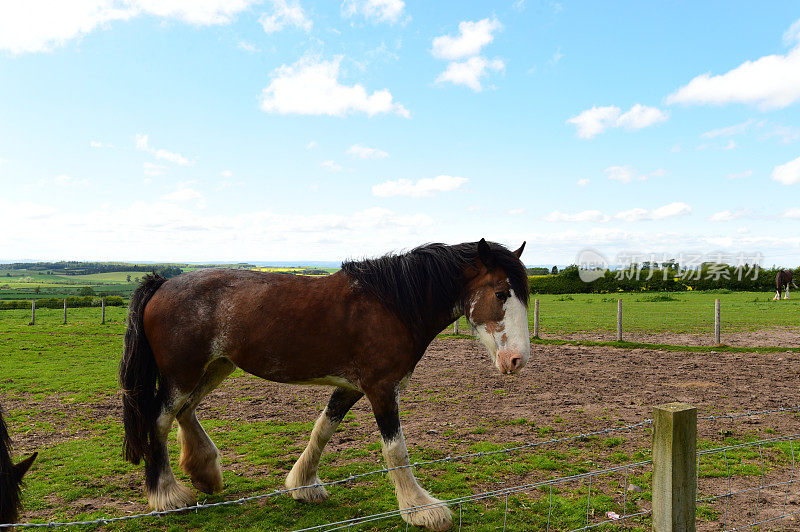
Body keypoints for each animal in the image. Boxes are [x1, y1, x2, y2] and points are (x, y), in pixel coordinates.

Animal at [119, 239, 528, 528]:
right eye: (501, 293)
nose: (517, 360)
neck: (392, 304)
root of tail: (162, 283)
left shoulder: (351, 386)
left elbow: (324, 428)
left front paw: (303, 484)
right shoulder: (381, 388)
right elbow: (395, 450)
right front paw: (420, 509)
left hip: (215, 367)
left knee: (185, 411)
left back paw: (204, 471)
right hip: (182, 374)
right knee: (158, 419)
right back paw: (167, 495)